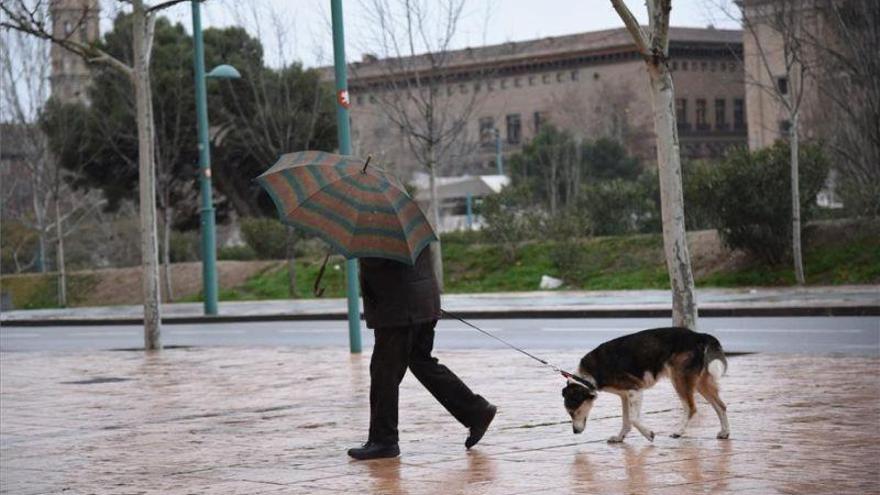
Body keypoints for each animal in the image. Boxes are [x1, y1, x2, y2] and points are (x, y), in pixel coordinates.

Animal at [564, 330, 728, 442]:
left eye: (573, 412)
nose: (575, 432)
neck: (587, 376)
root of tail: (698, 335)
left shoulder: (635, 390)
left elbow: (633, 419)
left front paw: (649, 434)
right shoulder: (625, 395)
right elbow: (626, 420)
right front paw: (620, 438)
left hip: (680, 380)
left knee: (691, 408)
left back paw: (679, 432)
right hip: (699, 382)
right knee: (720, 406)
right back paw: (725, 433)